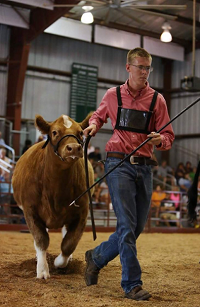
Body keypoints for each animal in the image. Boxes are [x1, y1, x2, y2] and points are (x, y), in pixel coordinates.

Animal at [12, 114, 94, 280]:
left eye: (80, 132)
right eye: (55, 132)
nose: (73, 148)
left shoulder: (82, 211)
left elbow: (69, 243)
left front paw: (59, 262)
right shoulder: (30, 210)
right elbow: (41, 239)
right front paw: (42, 270)